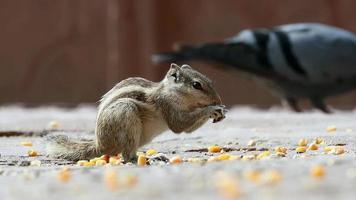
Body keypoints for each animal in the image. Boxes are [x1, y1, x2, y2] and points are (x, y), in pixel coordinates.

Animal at [46, 63, 227, 162]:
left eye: (209, 81)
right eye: (196, 85)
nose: (217, 100)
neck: (170, 92)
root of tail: (100, 145)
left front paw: (221, 110)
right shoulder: (167, 107)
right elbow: (180, 126)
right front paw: (212, 109)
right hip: (126, 112)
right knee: (127, 156)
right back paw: (148, 159)